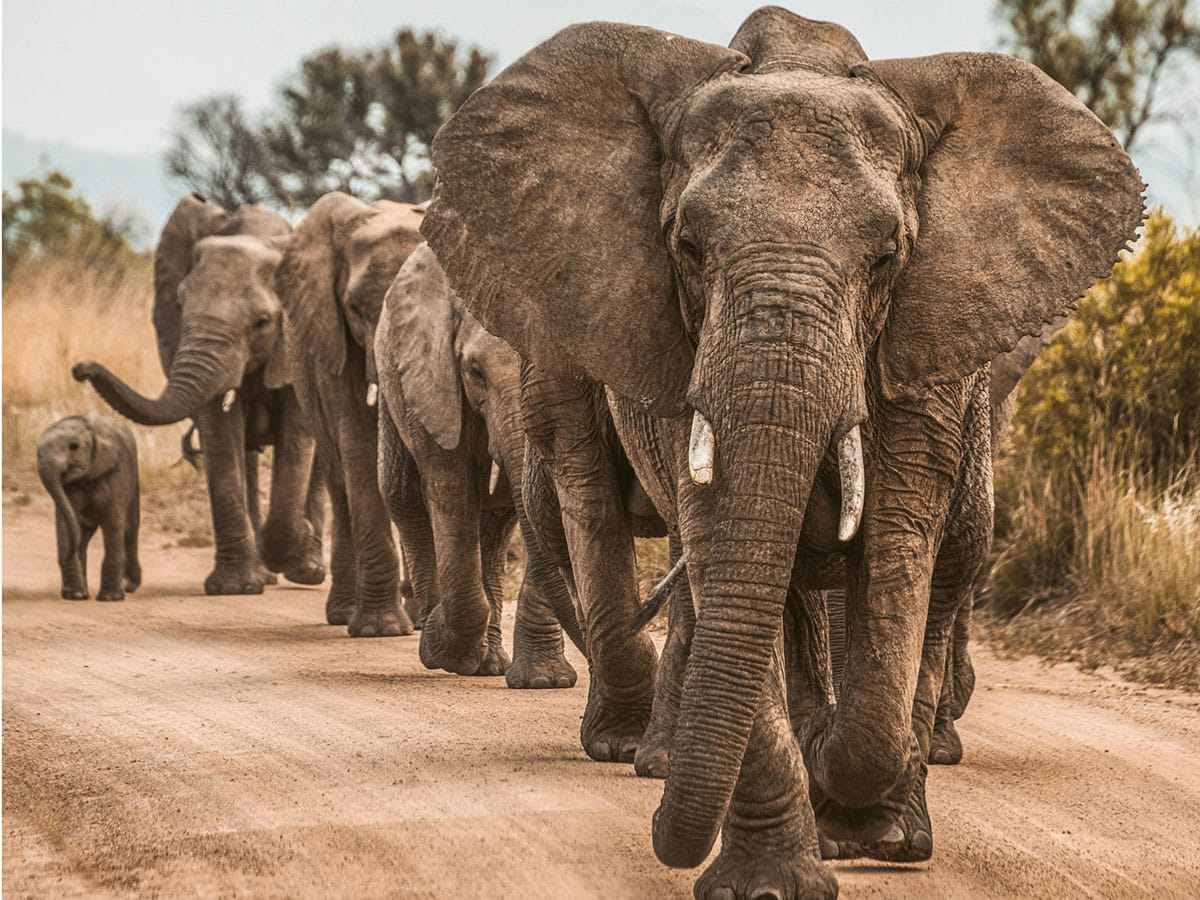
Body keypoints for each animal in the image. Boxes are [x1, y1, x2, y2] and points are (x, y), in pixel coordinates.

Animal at [38, 412, 141, 602]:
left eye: (74, 446)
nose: (65, 556)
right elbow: (66, 521)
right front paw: (74, 595)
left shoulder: (117, 471)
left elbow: (113, 521)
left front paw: (110, 598)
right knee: (83, 534)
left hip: (134, 478)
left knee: (130, 529)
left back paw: (129, 586)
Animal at [73, 194, 325, 596]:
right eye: (178, 306)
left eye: (262, 322)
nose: (81, 368)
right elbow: (220, 436)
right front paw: (235, 588)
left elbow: (298, 438)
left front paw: (295, 540)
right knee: (247, 456)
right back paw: (267, 572)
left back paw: (308, 570)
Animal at [274, 191, 428, 637]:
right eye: (356, 308)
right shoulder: (330, 333)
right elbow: (357, 442)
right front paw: (381, 629)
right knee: (340, 478)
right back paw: (346, 614)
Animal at [374, 242, 583, 682]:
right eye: (475, 372)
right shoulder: (433, 378)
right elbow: (450, 488)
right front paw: (442, 648)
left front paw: (545, 682)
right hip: (392, 380)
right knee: (404, 497)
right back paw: (438, 642)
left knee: (497, 523)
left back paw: (488, 664)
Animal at [419, 8, 1143, 899]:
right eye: (688, 248)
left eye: (887, 257)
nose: (659, 832)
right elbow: (722, 545)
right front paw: (770, 877)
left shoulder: (928, 346)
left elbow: (897, 552)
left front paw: (867, 819)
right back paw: (663, 754)